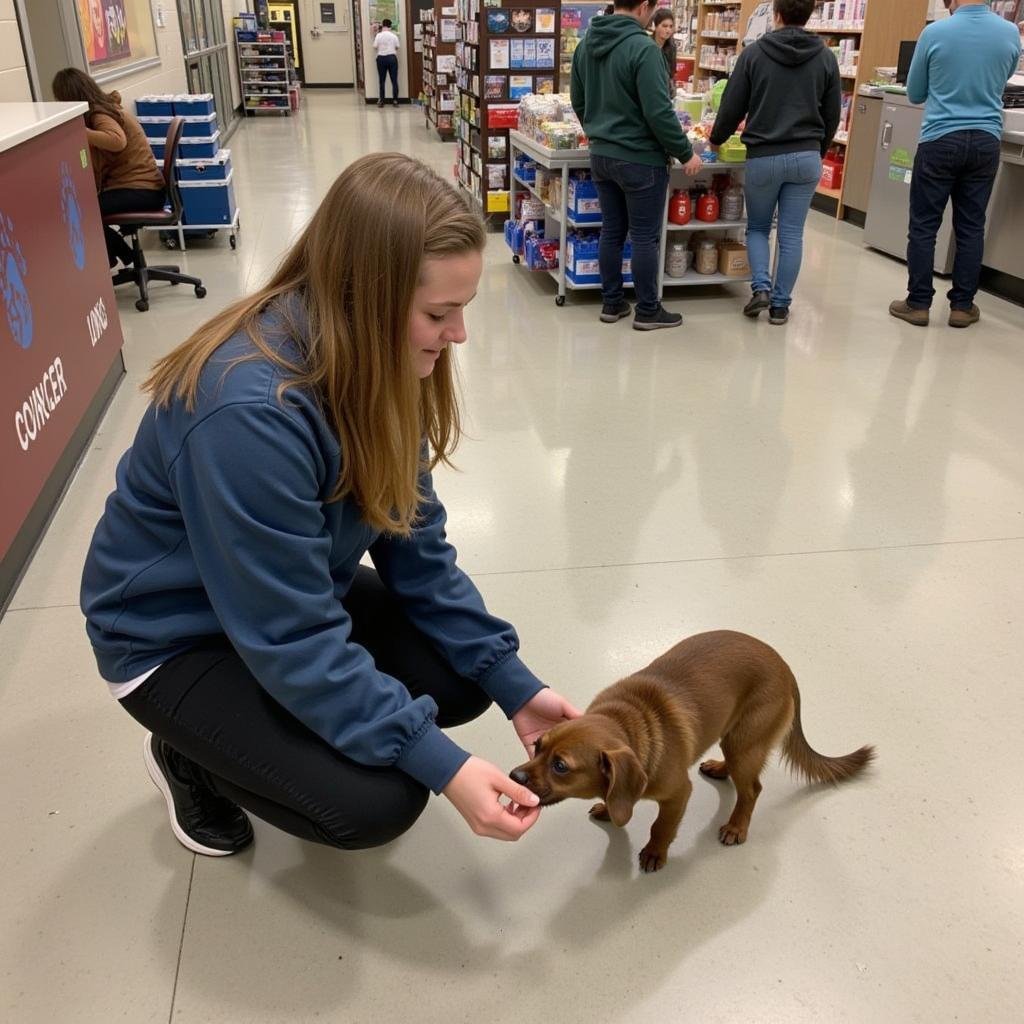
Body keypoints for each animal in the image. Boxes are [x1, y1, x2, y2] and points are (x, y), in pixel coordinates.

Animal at [509, 630, 872, 872]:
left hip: (746, 743)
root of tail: (784, 667)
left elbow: (661, 826)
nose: (513, 776)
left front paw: (655, 852)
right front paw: (608, 809)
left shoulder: (678, 794)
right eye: (537, 746)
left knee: (752, 790)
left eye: (560, 766)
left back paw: (736, 826)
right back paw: (720, 769)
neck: (629, 723)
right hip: (733, 737)